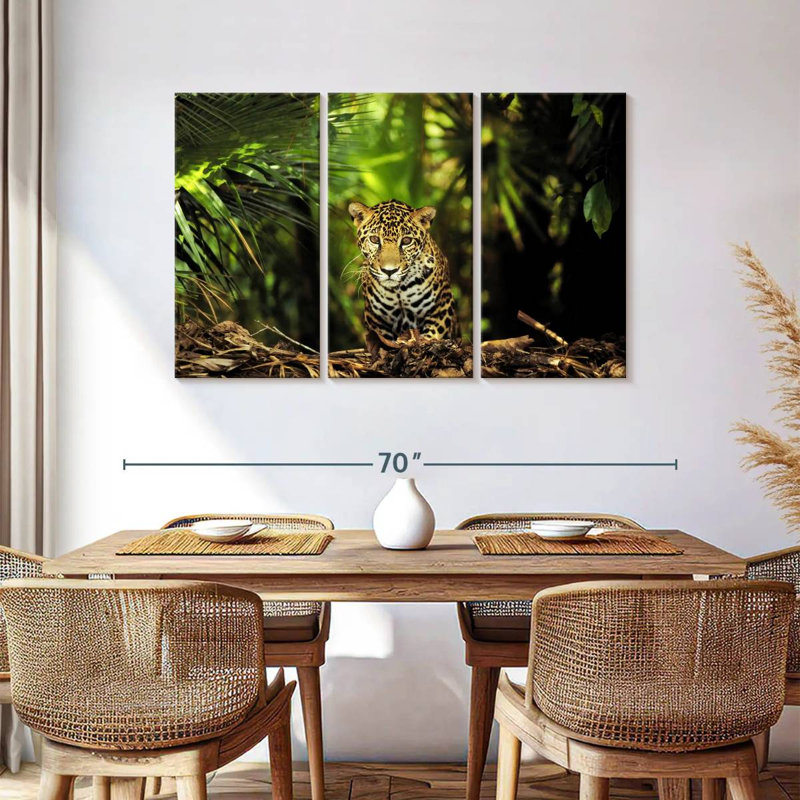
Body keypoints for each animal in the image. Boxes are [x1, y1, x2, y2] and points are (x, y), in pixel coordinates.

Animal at [348, 199, 457, 342]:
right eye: (374, 239)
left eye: (406, 240)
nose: (389, 271)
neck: (399, 291)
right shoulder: (375, 319)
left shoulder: (442, 306)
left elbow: (432, 335)